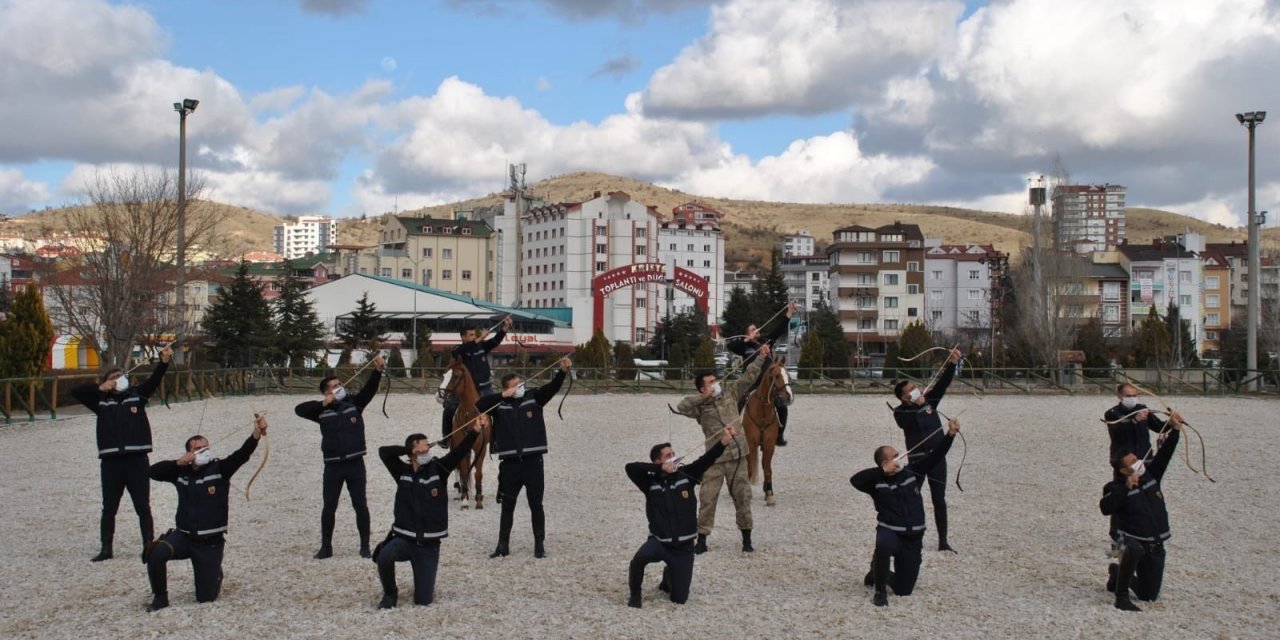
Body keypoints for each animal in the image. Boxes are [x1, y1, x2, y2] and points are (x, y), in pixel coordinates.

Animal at [448, 355, 491, 509]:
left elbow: (478, 473)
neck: (468, 414)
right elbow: (465, 471)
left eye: (455, 376)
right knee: (461, 471)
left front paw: (478, 499)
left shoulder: (481, 448)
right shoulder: (461, 447)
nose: (443, 394)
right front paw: (464, 500)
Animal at [742, 360, 788, 504]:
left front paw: (769, 493)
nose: (788, 397)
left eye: (788, 375)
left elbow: (767, 468)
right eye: (777, 376)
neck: (762, 411)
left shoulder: (769, 444)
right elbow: (750, 467)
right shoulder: (750, 443)